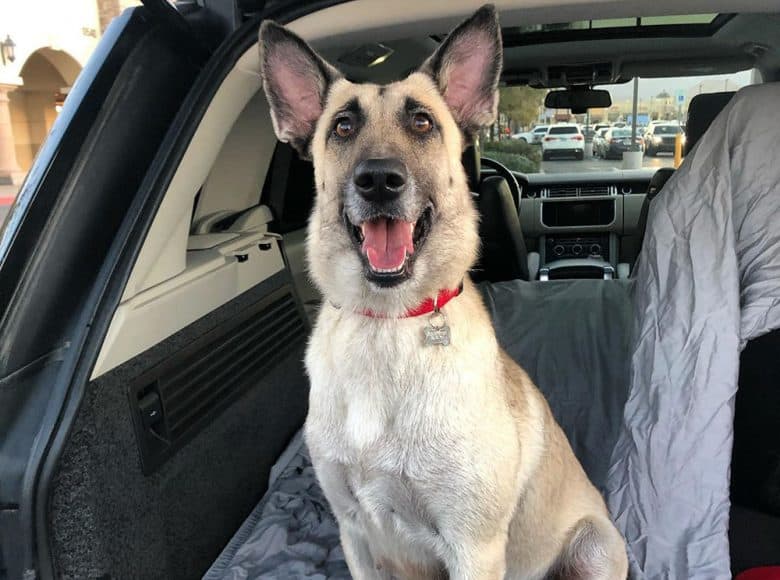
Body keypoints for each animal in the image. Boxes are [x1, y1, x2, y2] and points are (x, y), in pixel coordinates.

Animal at [260, 5, 628, 580]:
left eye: (422, 123)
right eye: (343, 126)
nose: (378, 180)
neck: (387, 324)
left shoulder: (472, 546)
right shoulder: (355, 535)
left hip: (593, 546)